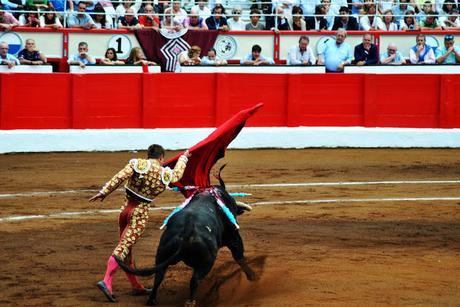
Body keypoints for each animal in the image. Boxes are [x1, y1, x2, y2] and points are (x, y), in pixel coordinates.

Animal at [115, 186, 256, 306]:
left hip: (162, 252)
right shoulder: (233, 237)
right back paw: (190, 302)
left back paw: (152, 300)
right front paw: (253, 277)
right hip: (206, 261)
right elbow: (239, 257)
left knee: (159, 276)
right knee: (195, 280)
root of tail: (188, 229)